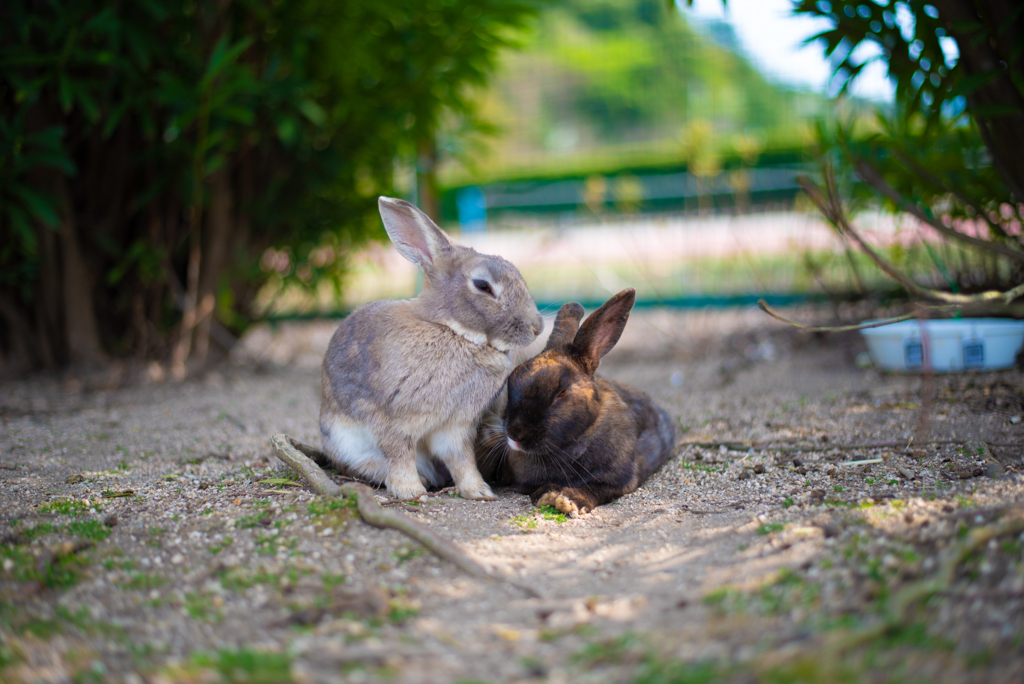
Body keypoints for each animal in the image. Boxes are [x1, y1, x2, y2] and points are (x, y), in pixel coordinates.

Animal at [319, 194, 544, 499]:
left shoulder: (456, 426)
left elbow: (461, 459)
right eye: (483, 285)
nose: (537, 327)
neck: (454, 331)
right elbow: (399, 453)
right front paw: (411, 491)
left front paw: (479, 491)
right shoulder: (393, 419)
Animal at [475, 286, 675, 516]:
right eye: (512, 379)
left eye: (561, 392)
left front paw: (569, 500)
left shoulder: (622, 479)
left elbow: (596, 489)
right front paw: (550, 495)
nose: (515, 435)